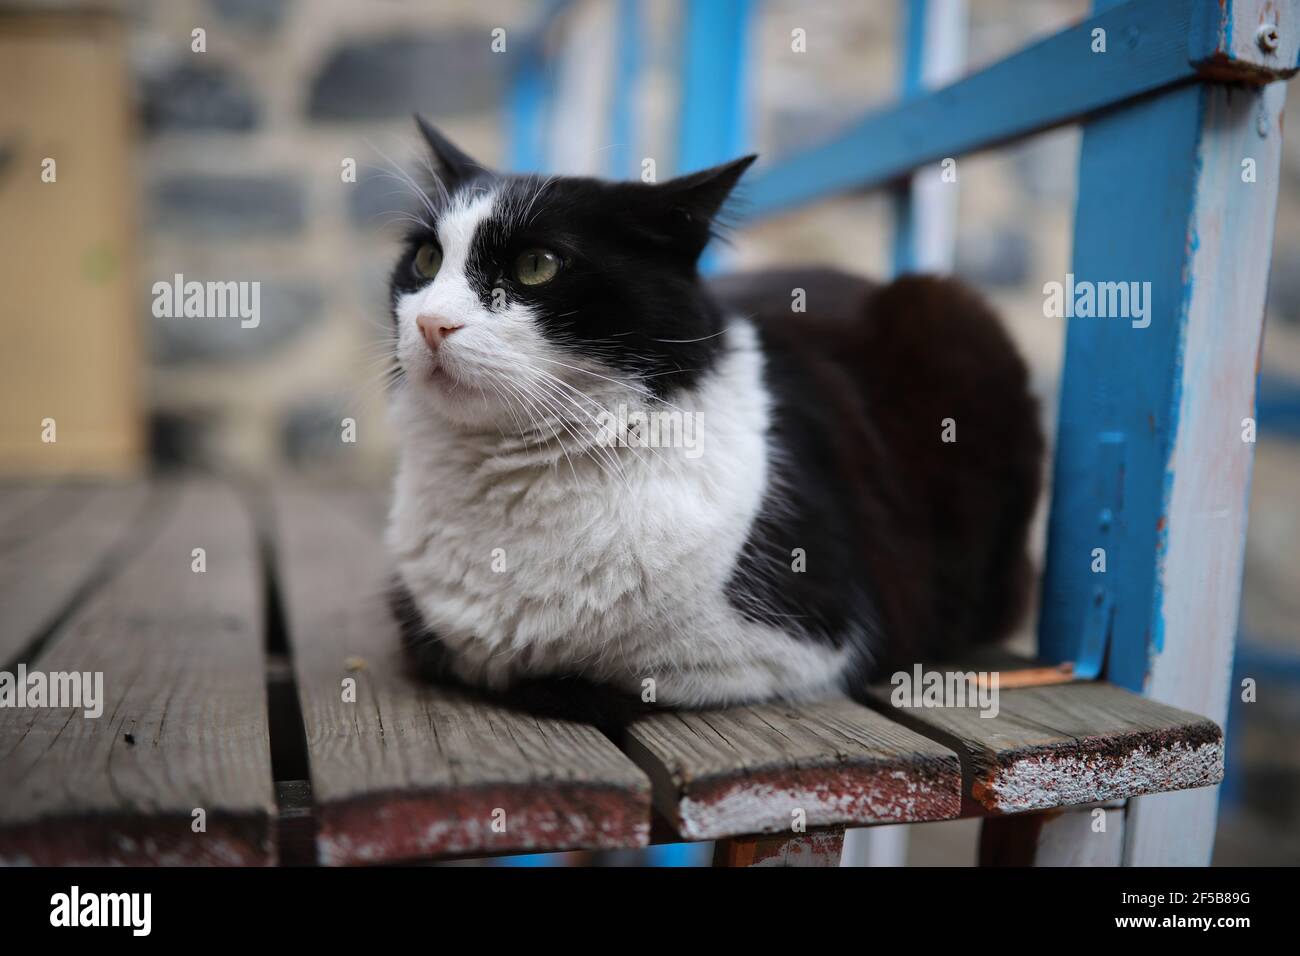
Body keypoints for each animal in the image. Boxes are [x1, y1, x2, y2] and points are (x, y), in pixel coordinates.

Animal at [379, 117, 1040, 712]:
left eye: (536, 265)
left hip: (953, 314)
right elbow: (464, 655)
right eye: (427, 259)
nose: (430, 322)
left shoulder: (803, 648)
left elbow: (596, 680)